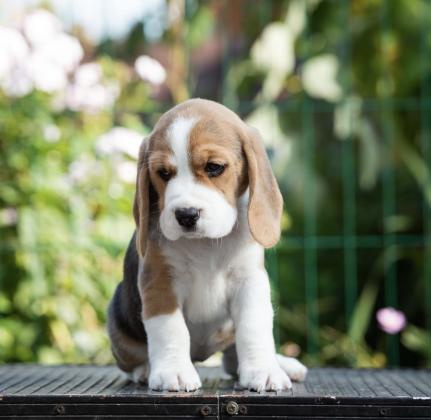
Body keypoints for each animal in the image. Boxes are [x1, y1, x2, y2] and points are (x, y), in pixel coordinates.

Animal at [109, 97, 308, 390]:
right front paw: (173, 371)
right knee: (132, 360)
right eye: (163, 173)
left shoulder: (250, 280)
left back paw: (281, 363)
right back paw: (145, 369)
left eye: (214, 167)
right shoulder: (159, 281)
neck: (206, 245)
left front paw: (263, 370)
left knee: (232, 358)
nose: (186, 214)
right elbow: (170, 328)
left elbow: (254, 326)